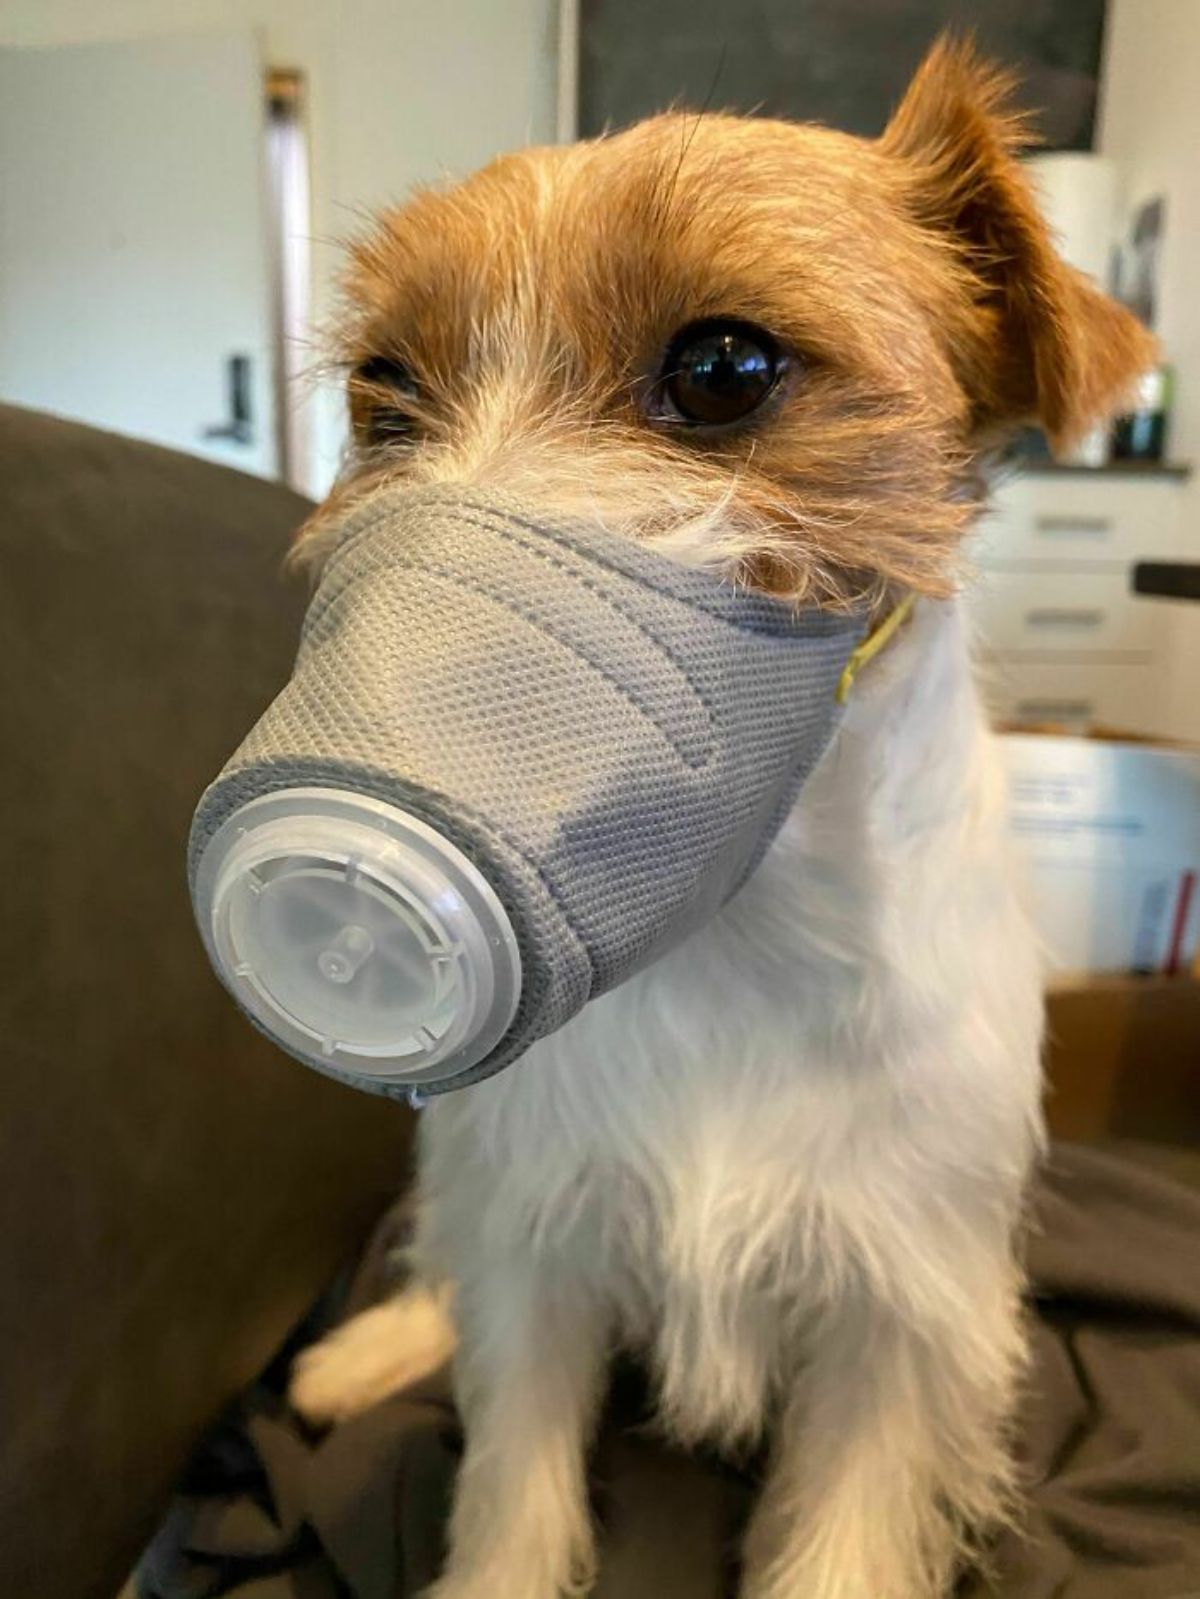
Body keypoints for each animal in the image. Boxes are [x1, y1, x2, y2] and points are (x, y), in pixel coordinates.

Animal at [289, 40, 1158, 1599]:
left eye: (724, 369)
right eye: (386, 396)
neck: (730, 940)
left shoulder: (897, 1323)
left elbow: (847, 1540)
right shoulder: (539, 1249)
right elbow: (508, 1491)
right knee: (444, 1256)